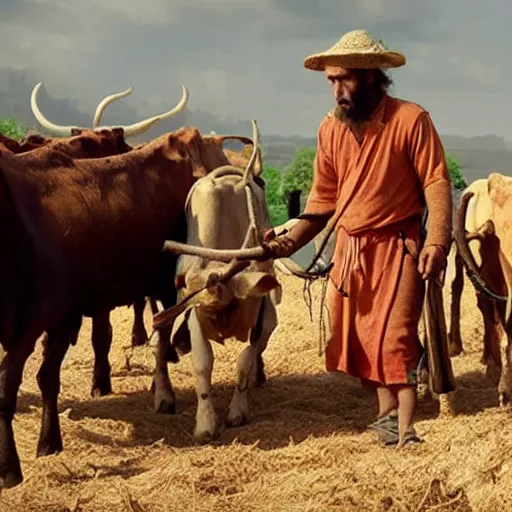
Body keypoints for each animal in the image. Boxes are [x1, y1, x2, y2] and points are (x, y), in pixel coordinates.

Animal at [151, 121, 284, 444]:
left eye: (219, 293)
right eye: (186, 287)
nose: (179, 342)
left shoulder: (259, 311)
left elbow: (246, 360)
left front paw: (238, 409)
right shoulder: (194, 317)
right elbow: (203, 363)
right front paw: (205, 423)